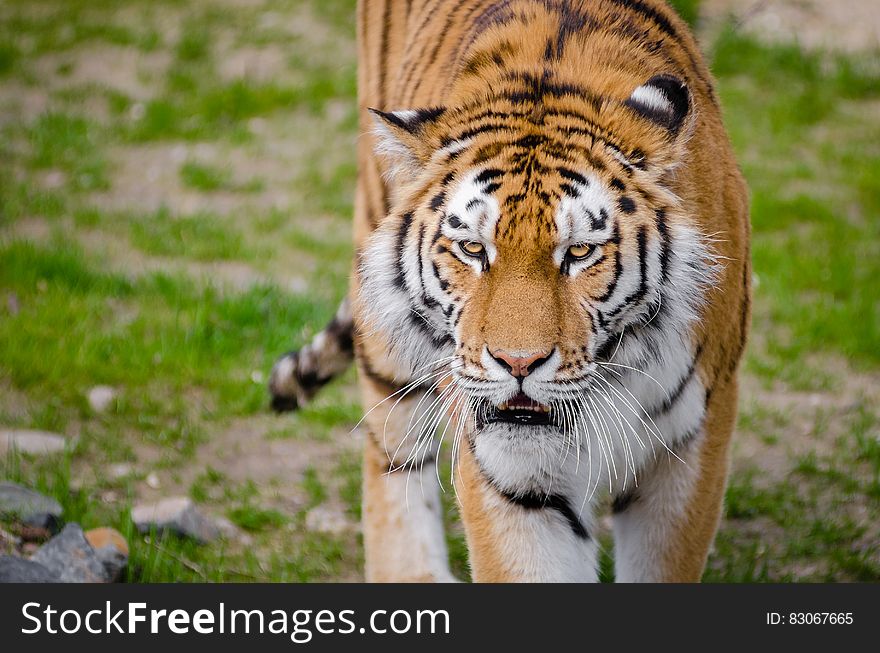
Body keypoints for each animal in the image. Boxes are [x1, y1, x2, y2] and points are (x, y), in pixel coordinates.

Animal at [268, 0, 748, 580]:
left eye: (579, 252)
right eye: (473, 249)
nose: (518, 364)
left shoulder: (691, 447)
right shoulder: (507, 470)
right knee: (391, 455)